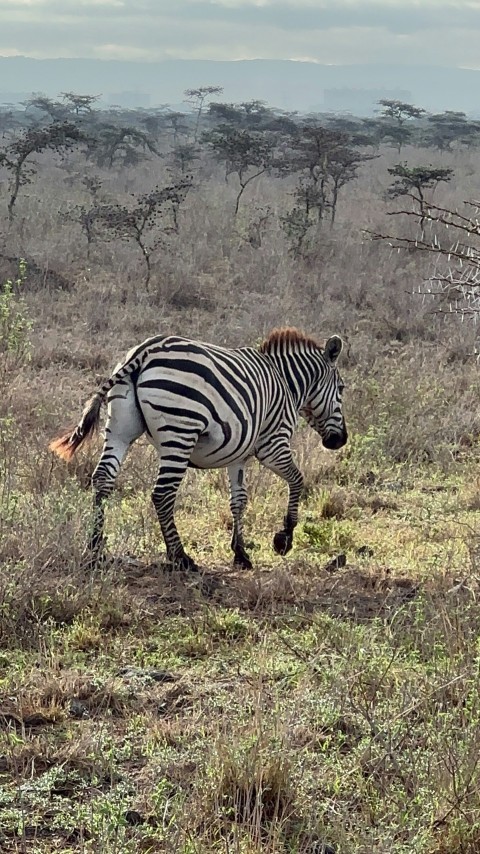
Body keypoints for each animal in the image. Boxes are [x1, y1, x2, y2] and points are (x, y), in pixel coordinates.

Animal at [49, 328, 348, 572]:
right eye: (342, 388)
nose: (340, 441)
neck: (287, 382)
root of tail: (145, 350)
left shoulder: (238, 456)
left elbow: (238, 500)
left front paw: (241, 554)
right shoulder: (273, 443)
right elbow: (297, 480)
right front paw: (284, 538)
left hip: (120, 428)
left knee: (103, 480)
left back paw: (94, 548)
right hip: (180, 430)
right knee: (162, 494)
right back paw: (180, 557)